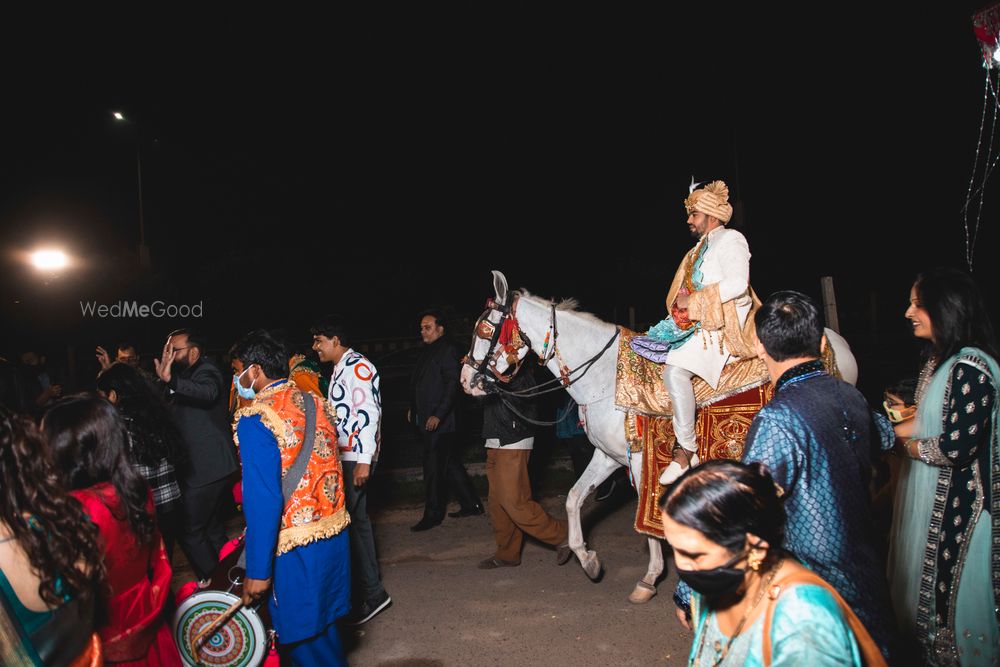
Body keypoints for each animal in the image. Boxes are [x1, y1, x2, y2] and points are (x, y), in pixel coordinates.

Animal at [460, 272, 860, 604]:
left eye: (484, 330)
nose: (467, 381)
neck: (605, 377)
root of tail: (837, 341)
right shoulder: (609, 457)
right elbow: (574, 499)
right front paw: (587, 559)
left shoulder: (642, 461)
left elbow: (646, 516)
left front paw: (649, 580)